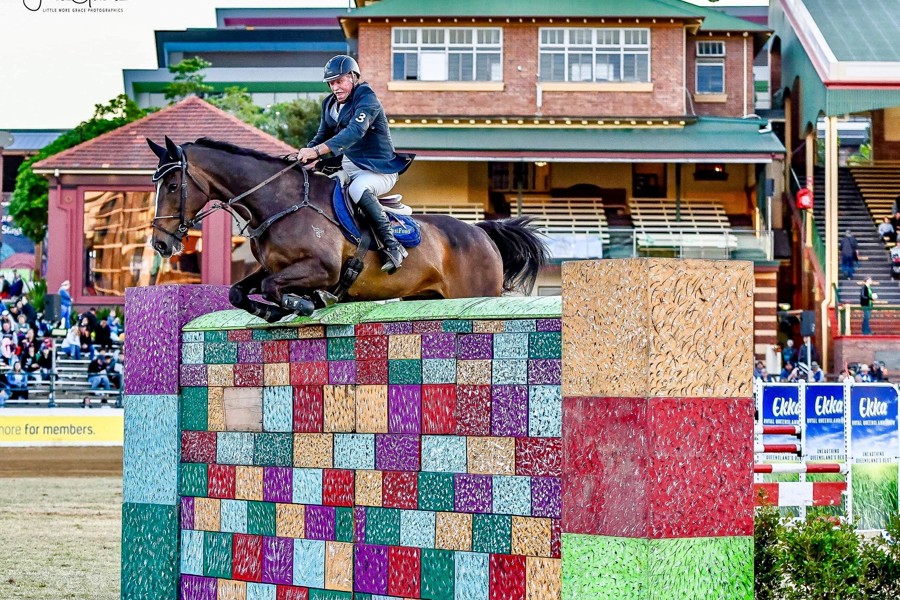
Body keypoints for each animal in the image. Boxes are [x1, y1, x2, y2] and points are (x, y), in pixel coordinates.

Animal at [147, 136, 549, 323]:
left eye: (173, 186)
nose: (160, 244)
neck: (278, 201)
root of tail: (482, 233)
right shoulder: (273, 267)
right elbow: (238, 291)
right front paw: (273, 311)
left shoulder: (323, 269)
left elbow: (273, 287)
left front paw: (301, 303)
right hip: (425, 296)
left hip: (474, 292)